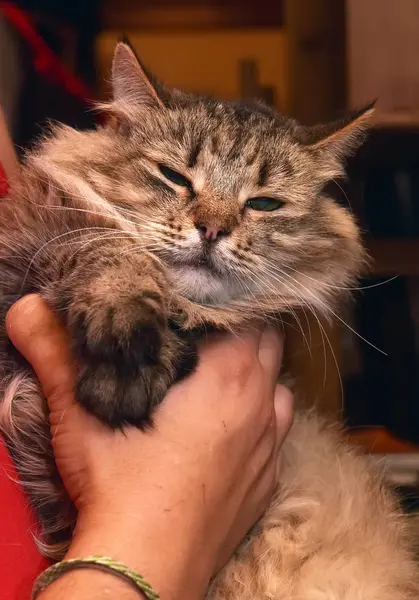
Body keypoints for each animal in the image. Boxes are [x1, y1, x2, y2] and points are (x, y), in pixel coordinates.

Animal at [0, 41, 418, 596]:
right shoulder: (31, 242)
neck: (185, 312)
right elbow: (104, 247)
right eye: (175, 177)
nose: (213, 229)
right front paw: (126, 349)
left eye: (263, 204)